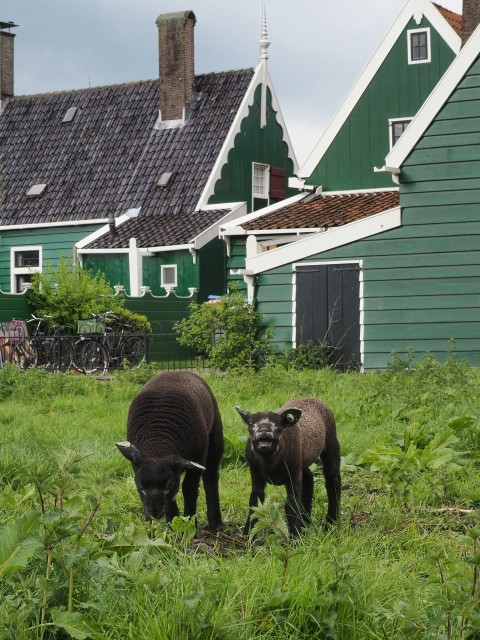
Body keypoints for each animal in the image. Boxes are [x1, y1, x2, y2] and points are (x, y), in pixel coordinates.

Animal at [116, 370, 223, 528]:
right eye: (140, 484)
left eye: (168, 484)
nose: (154, 513)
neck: (158, 441)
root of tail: (178, 371)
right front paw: (170, 523)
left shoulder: (198, 459)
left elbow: (189, 489)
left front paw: (189, 524)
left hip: (215, 437)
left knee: (211, 477)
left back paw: (216, 523)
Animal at [236, 400, 342, 536]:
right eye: (250, 423)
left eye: (279, 423)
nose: (264, 431)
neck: (270, 463)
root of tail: (313, 398)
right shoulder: (255, 471)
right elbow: (255, 502)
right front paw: (247, 535)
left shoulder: (294, 472)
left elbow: (291, 504)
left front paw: (296, 536)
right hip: (302, 462)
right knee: (309, 478)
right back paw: (306, 522)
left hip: (331, 442)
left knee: (333, 481)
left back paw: (330, 523)